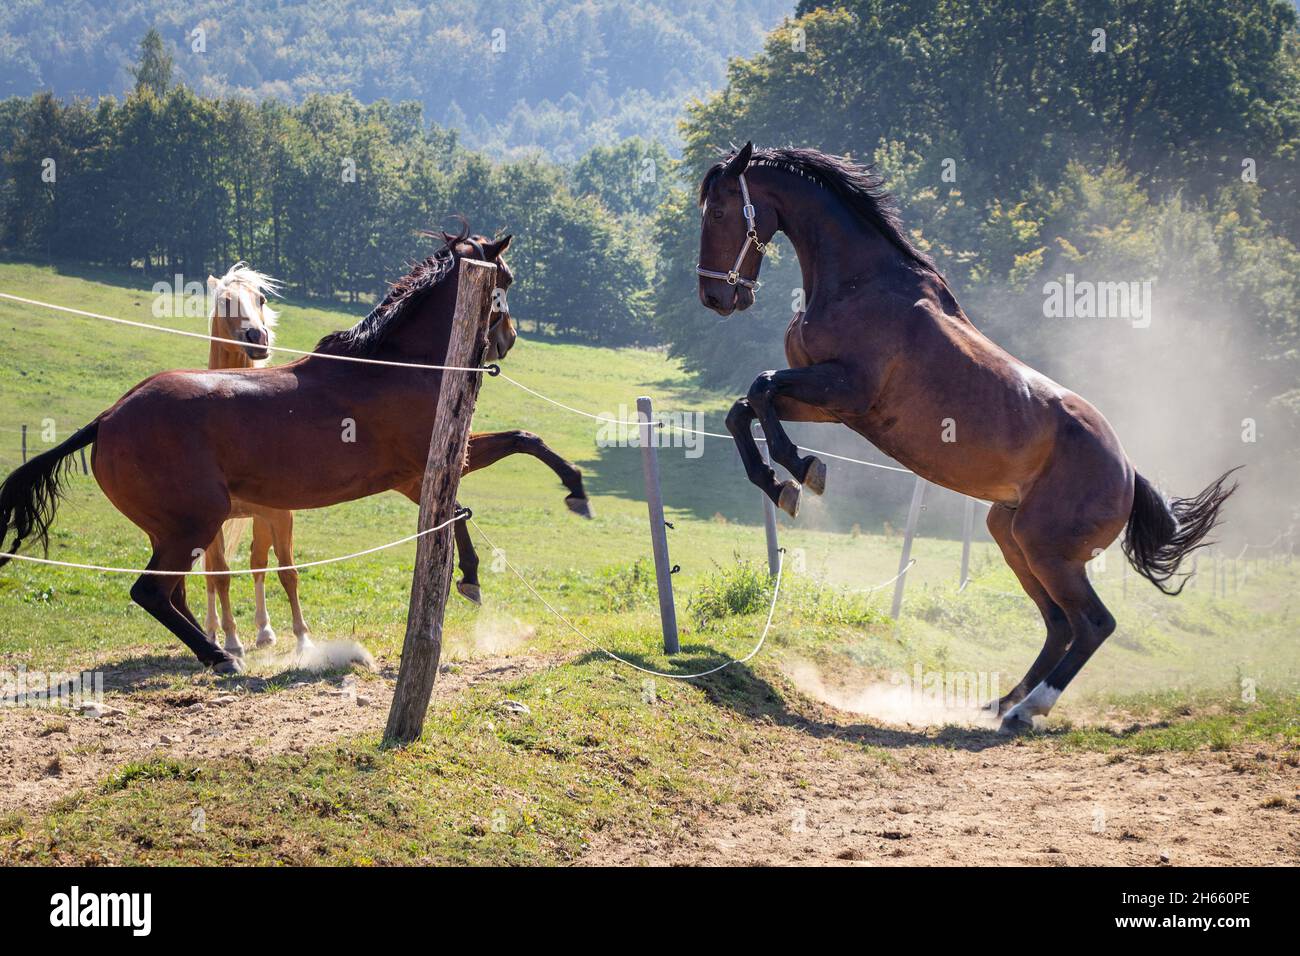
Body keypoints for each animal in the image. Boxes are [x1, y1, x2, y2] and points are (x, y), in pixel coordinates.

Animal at [0, 228, 517, 676]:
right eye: (506, 278)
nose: (507, 340)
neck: (395, 364)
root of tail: (107, 418)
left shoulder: (418, 477)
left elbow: (491, 473)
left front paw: (470, 574)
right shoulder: (430, 466)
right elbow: (489, 478)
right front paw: (473, 575)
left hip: (171, 530)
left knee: (175, 592)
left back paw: (217, 649)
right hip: (196, 521)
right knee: (151, 591)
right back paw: (220, 656)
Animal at [696, 145, 1232, 738]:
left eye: (718, 211)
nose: (715, 295)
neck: (863, 285)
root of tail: (1127, 471)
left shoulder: (847, 390)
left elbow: (760, 388)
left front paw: (802, 472)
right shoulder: (829, 402)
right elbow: (744, 409)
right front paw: (779, 484)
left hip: (1048, 550)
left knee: (1093, 624)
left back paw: (1027, 711)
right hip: (1012, 535)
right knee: (1058, 624)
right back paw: (998, 704)